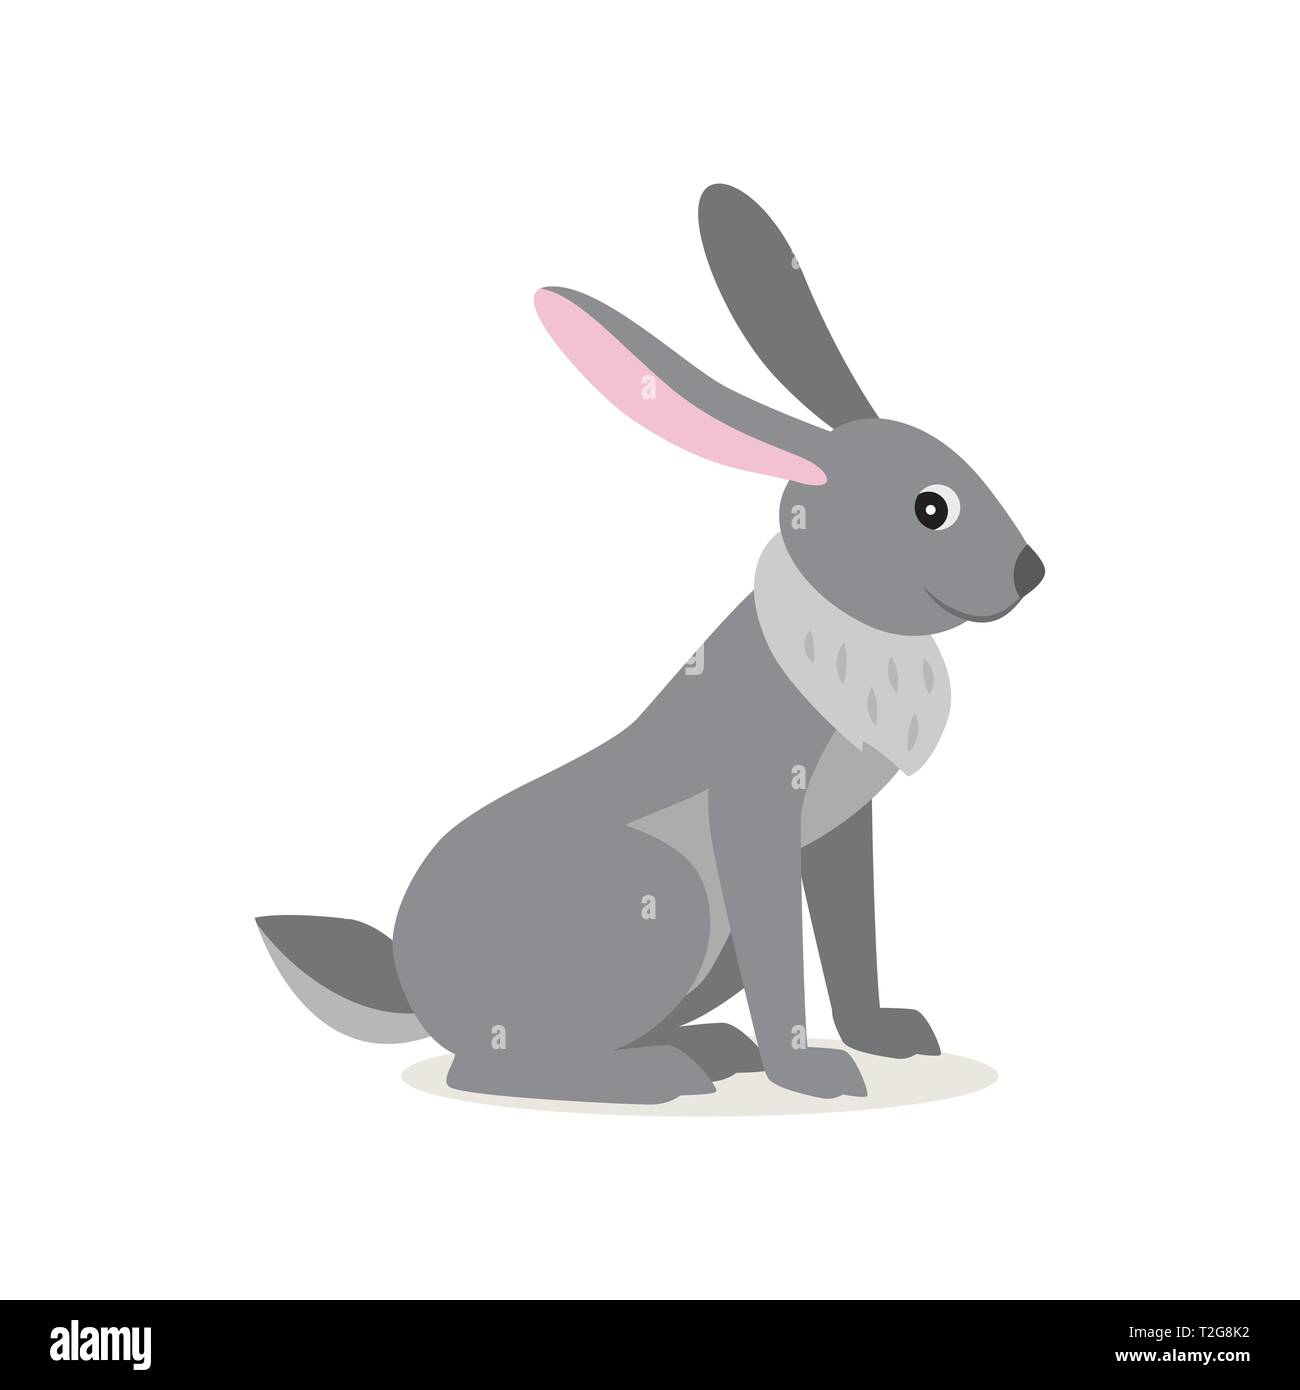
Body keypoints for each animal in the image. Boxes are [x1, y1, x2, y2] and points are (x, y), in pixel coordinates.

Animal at [258, 184, 1044, 1104]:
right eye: (932, 508)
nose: (1031, 571)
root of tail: (411, 987)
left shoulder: (840, 829)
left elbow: (854, 935)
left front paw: (884, 1036)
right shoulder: (755, 802)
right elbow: (784, 945)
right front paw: (811, 1072)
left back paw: (711, 1049)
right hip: (666, 892)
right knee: (487, 1064)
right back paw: (661, 1075)